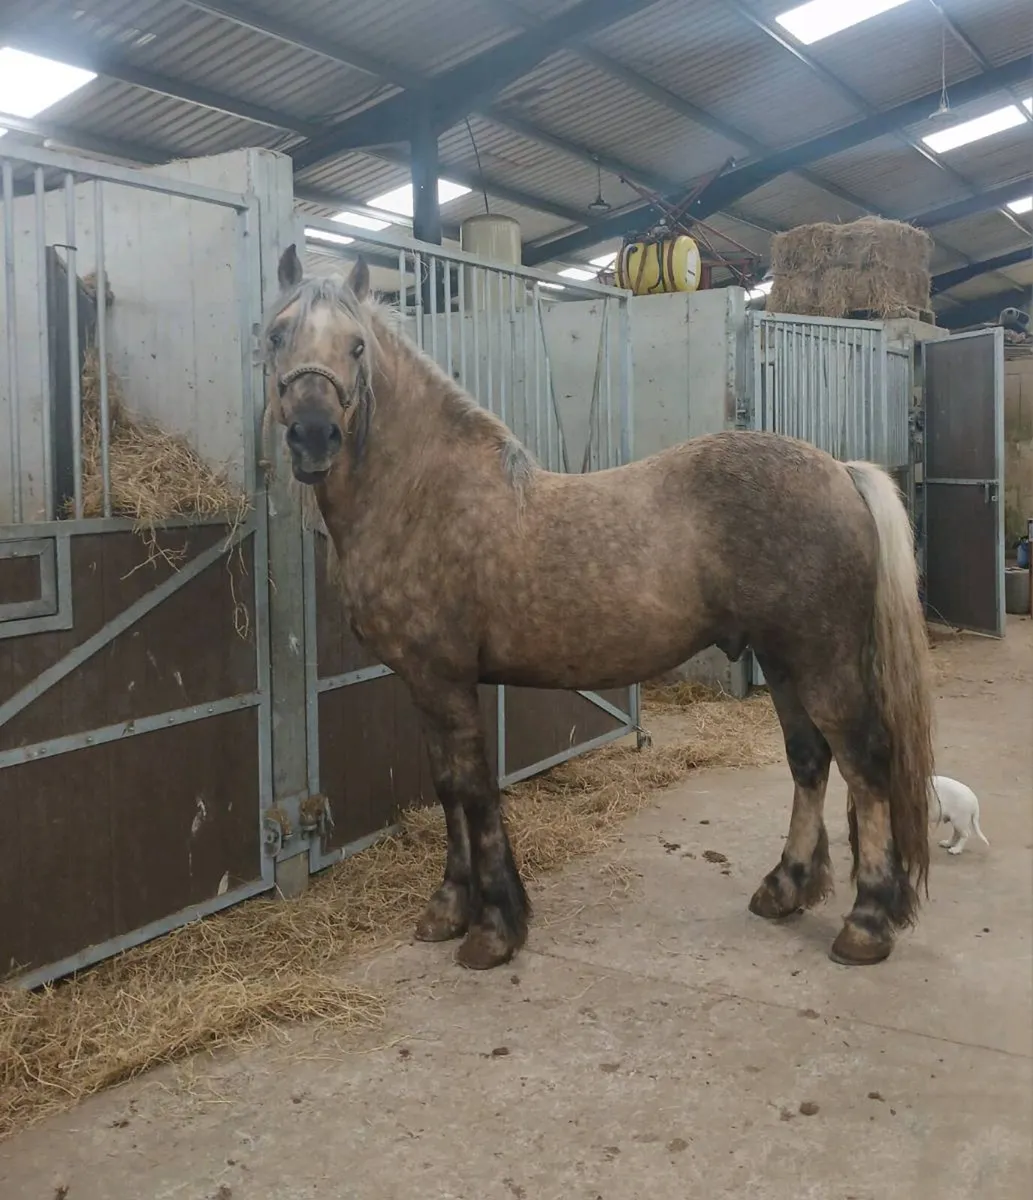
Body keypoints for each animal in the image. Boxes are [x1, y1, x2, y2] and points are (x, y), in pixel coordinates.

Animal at [262, 245, 934, 973]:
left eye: (356, 346)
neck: (426, 496)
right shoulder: (423, 684)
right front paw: (447, 908)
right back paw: (785, 888)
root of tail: (840, 471)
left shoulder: (446, 680)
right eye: (276, 336)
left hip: (823, 663)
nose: (313, 436)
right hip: (782, 662)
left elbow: (474, 791)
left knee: (865, 763)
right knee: (809, 759)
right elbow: (446, 789)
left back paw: (866, 922)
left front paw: (493, 928)